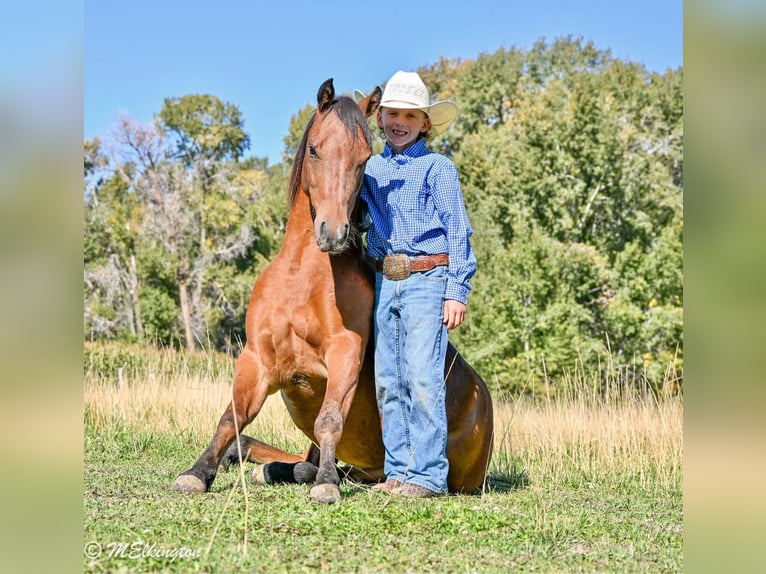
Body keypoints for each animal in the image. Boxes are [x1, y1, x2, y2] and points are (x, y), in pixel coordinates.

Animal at [172, 78, 494, 503]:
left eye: (363, 159)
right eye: (314, 149)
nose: (333, 233)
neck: (301, 277)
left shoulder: (344, 354)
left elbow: (329, 419)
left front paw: (326, 485)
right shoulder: (256, 359)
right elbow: (232, 417)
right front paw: (197, 472)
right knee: (293, 456)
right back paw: (265, 468)